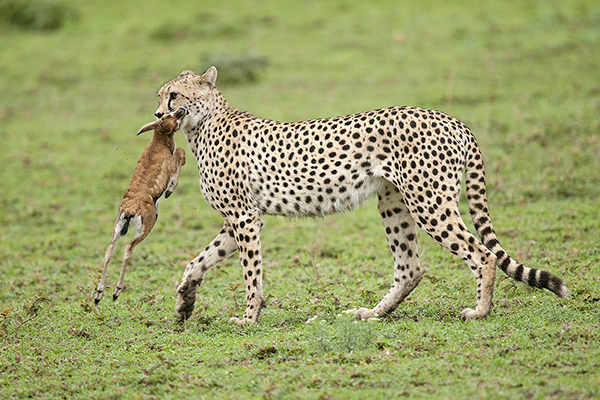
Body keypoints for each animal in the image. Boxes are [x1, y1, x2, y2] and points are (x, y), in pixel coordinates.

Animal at [154, 67, 568, 324]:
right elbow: (197, 261)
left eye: (173, 95)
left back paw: (479, 312)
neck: (203, 123)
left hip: (429, 201)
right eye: (159, 96)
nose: (158, 115)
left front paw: (249, 318)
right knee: (411, 267)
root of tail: (449, 118)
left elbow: (250, 274)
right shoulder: (236, 220)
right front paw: (184, 301)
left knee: (481, 254)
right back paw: (372, 314)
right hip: (394, 201)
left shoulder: (244, 218)